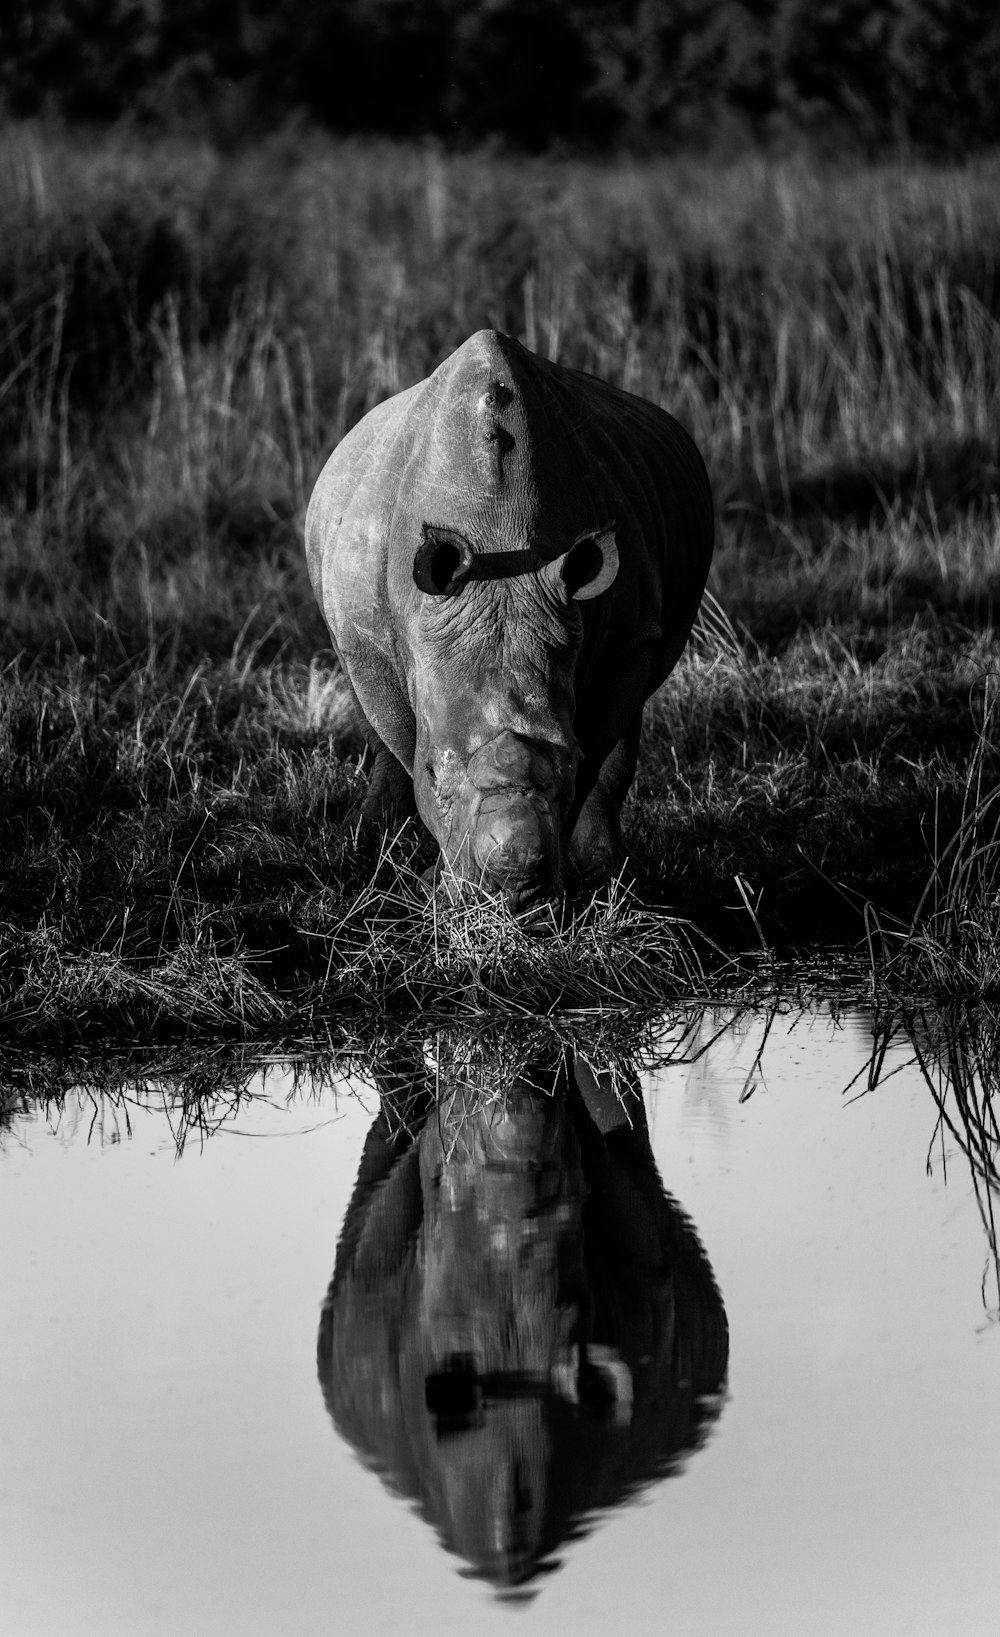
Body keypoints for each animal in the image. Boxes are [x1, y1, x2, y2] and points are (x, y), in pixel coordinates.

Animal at [304, 325, 713, 916]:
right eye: (435, 771)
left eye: (569, 761)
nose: (514, 890)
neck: (498, 533)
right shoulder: (371, 640)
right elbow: (400, 737)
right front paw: (435, 886)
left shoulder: (626, 639)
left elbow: (599, 753)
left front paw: (583, 880)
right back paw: (366, 834)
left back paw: (610, 869)